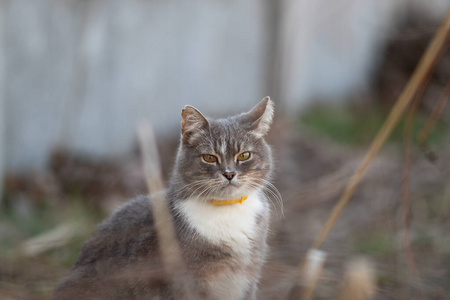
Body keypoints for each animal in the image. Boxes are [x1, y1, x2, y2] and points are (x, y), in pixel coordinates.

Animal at [54, 97, 276, 298]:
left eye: (244, 155)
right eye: (210, 158)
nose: (229, 173)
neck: (227, 210)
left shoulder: (250, 275)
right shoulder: (185, 282)